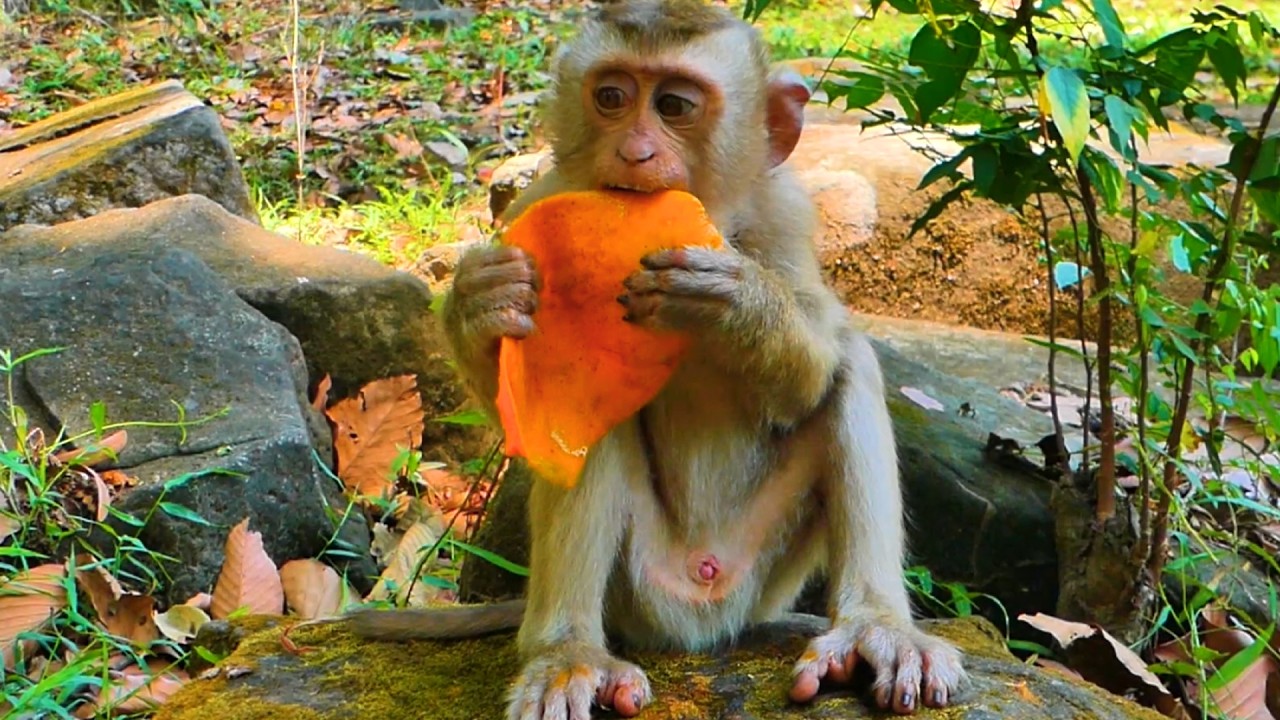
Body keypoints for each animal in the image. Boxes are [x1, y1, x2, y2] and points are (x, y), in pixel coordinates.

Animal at [349, 1, 966, 718]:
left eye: (674, 105)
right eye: (612, 98)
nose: (634, 151)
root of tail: (697, 620)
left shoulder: (784, 212)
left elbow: (809, 380)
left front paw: (733, 300)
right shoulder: (538, 202)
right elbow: (522, 411)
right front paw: (480, 301)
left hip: (762, 575)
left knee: (850, 366)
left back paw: (877, 628)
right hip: (640, 588)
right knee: (582, 420)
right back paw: (566, 652)